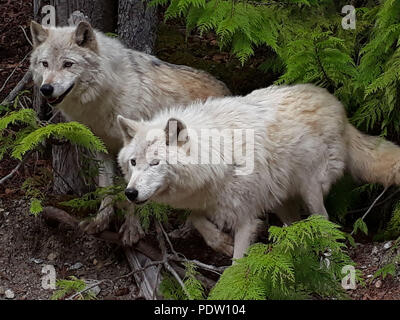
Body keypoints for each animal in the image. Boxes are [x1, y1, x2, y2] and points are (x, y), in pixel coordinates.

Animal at [29, 20, 230, 245]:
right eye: (45, 64)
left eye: (68, 64)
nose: (46, 89)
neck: (106, 98)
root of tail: (226, 89)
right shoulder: (102, 149)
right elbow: (105, 187)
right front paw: (100, 221)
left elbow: (132, 192)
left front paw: (132, 230)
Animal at [117, 84, 400, 260]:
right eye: (133, 163)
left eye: (155, 163)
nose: (130, 193)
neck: (217, 156)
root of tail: (338, 108)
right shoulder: (209, 202)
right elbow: (196, 220)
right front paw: (221, 242)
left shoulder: (246, 216)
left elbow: (237, 262)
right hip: (281, 200)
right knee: (296, 224)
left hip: (310, 191)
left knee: (325, 222)